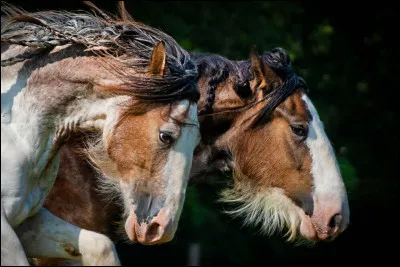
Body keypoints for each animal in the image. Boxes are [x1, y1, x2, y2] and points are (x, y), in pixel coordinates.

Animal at [0, 2, 200, 266]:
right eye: (166, 136)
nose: (161, 229)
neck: (15, 129)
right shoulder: (6, 231)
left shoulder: (28, 221)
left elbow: (100, 245)